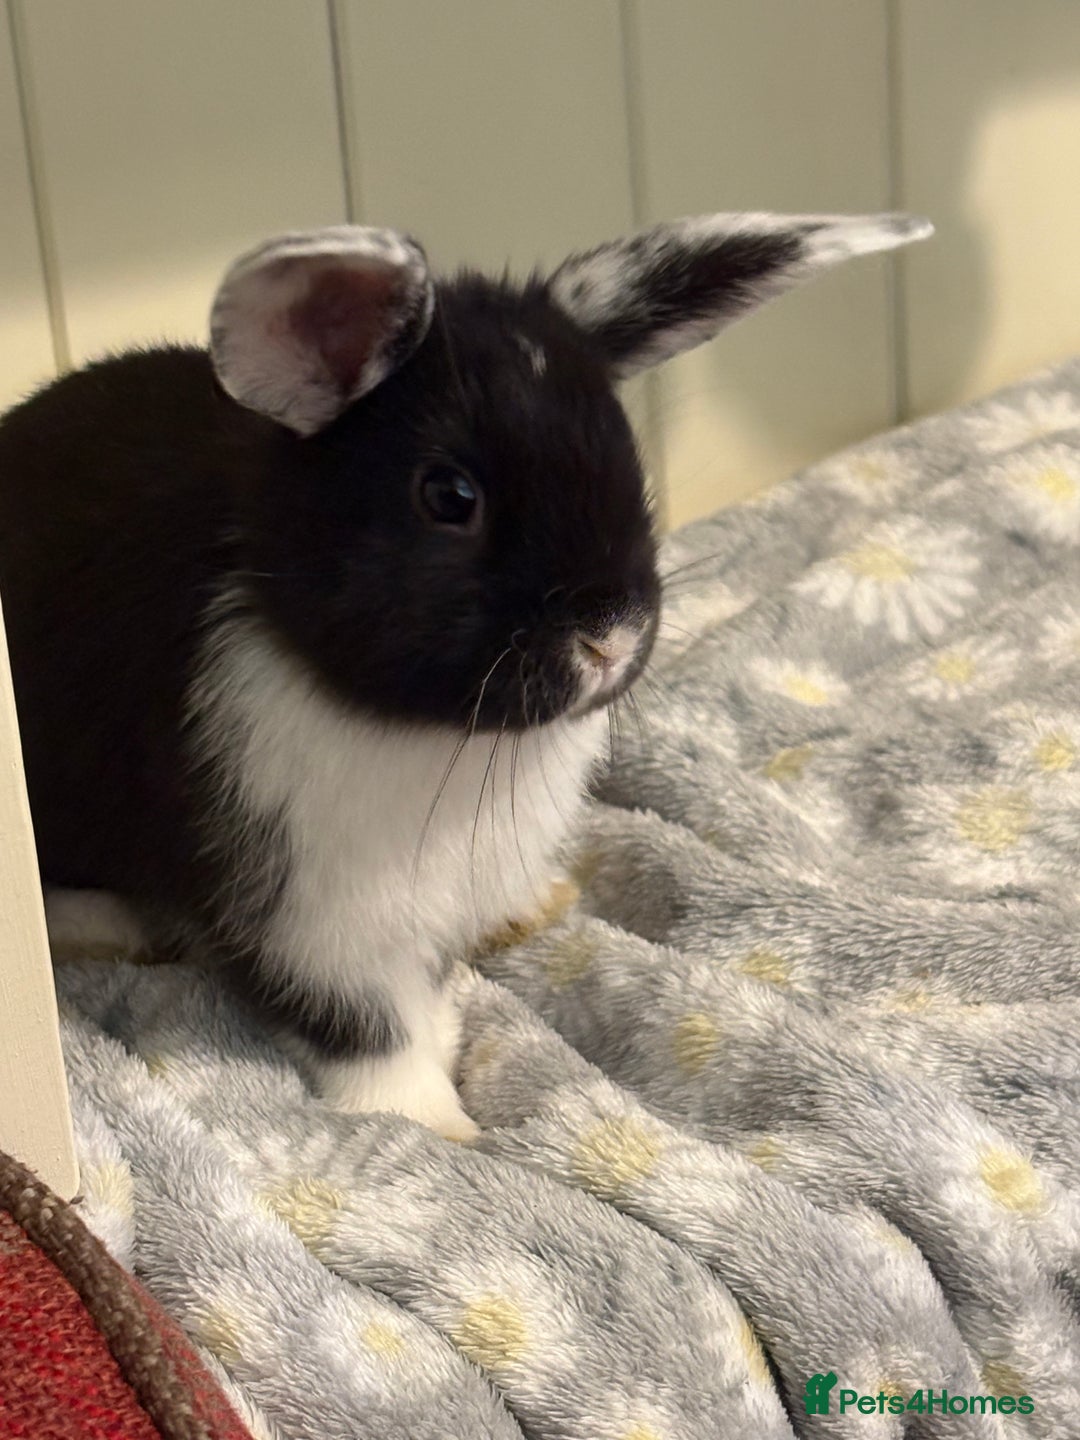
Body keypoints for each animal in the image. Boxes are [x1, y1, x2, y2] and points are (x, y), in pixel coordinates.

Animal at [0, 210, 931, 1140]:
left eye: (626, 457)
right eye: (449, 496)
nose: (610, 638)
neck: (432, 730)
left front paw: (491, 973)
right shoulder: (304, 919)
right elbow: (367, 1027)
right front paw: (436, 1125)